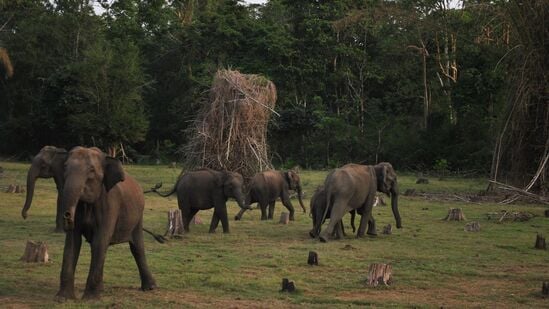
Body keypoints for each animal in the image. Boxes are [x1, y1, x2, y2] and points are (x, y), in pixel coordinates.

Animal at [56, 147, 156, 300]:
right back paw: (102, 289)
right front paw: (63, 298)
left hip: (138, 216)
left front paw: (90, 299)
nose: (67, 216)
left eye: (91, 170)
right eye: (65, 167)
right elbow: (73, 242)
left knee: (137, 247)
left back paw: (150, 288)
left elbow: (100, 239)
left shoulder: (110, 203)